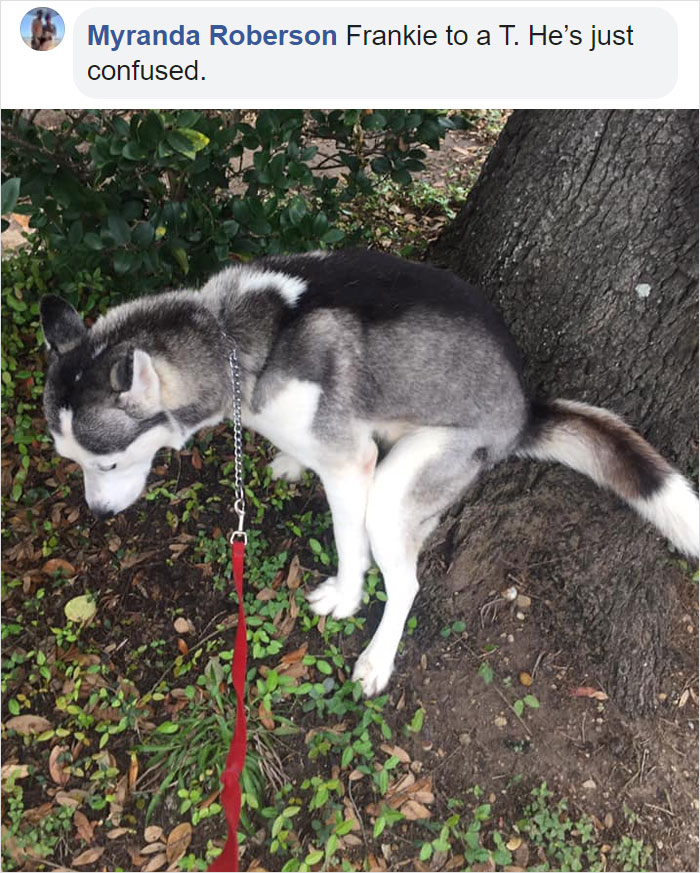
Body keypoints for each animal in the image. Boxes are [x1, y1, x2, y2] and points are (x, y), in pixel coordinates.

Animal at [42, 250, 700, 696]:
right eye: (70, 461)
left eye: (108, 462)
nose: (98, 513)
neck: (228, 335)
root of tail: (522, 415)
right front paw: (289, 460)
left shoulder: (350, 465)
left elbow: (347, 542)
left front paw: (348, 596)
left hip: (401, 484)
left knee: (405, 582)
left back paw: (378, 657)